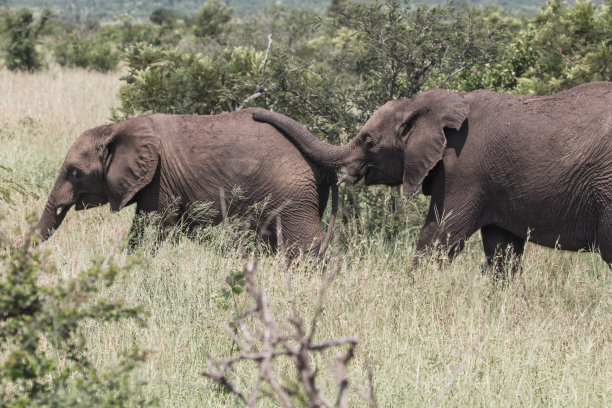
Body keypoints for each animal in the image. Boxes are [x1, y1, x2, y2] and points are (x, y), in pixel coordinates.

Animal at [255, 81, 612, 270]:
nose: (256, 114)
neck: (426, 105)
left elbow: (438, 237)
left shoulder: (463, 169)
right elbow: (502, 251)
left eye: (368, 141)